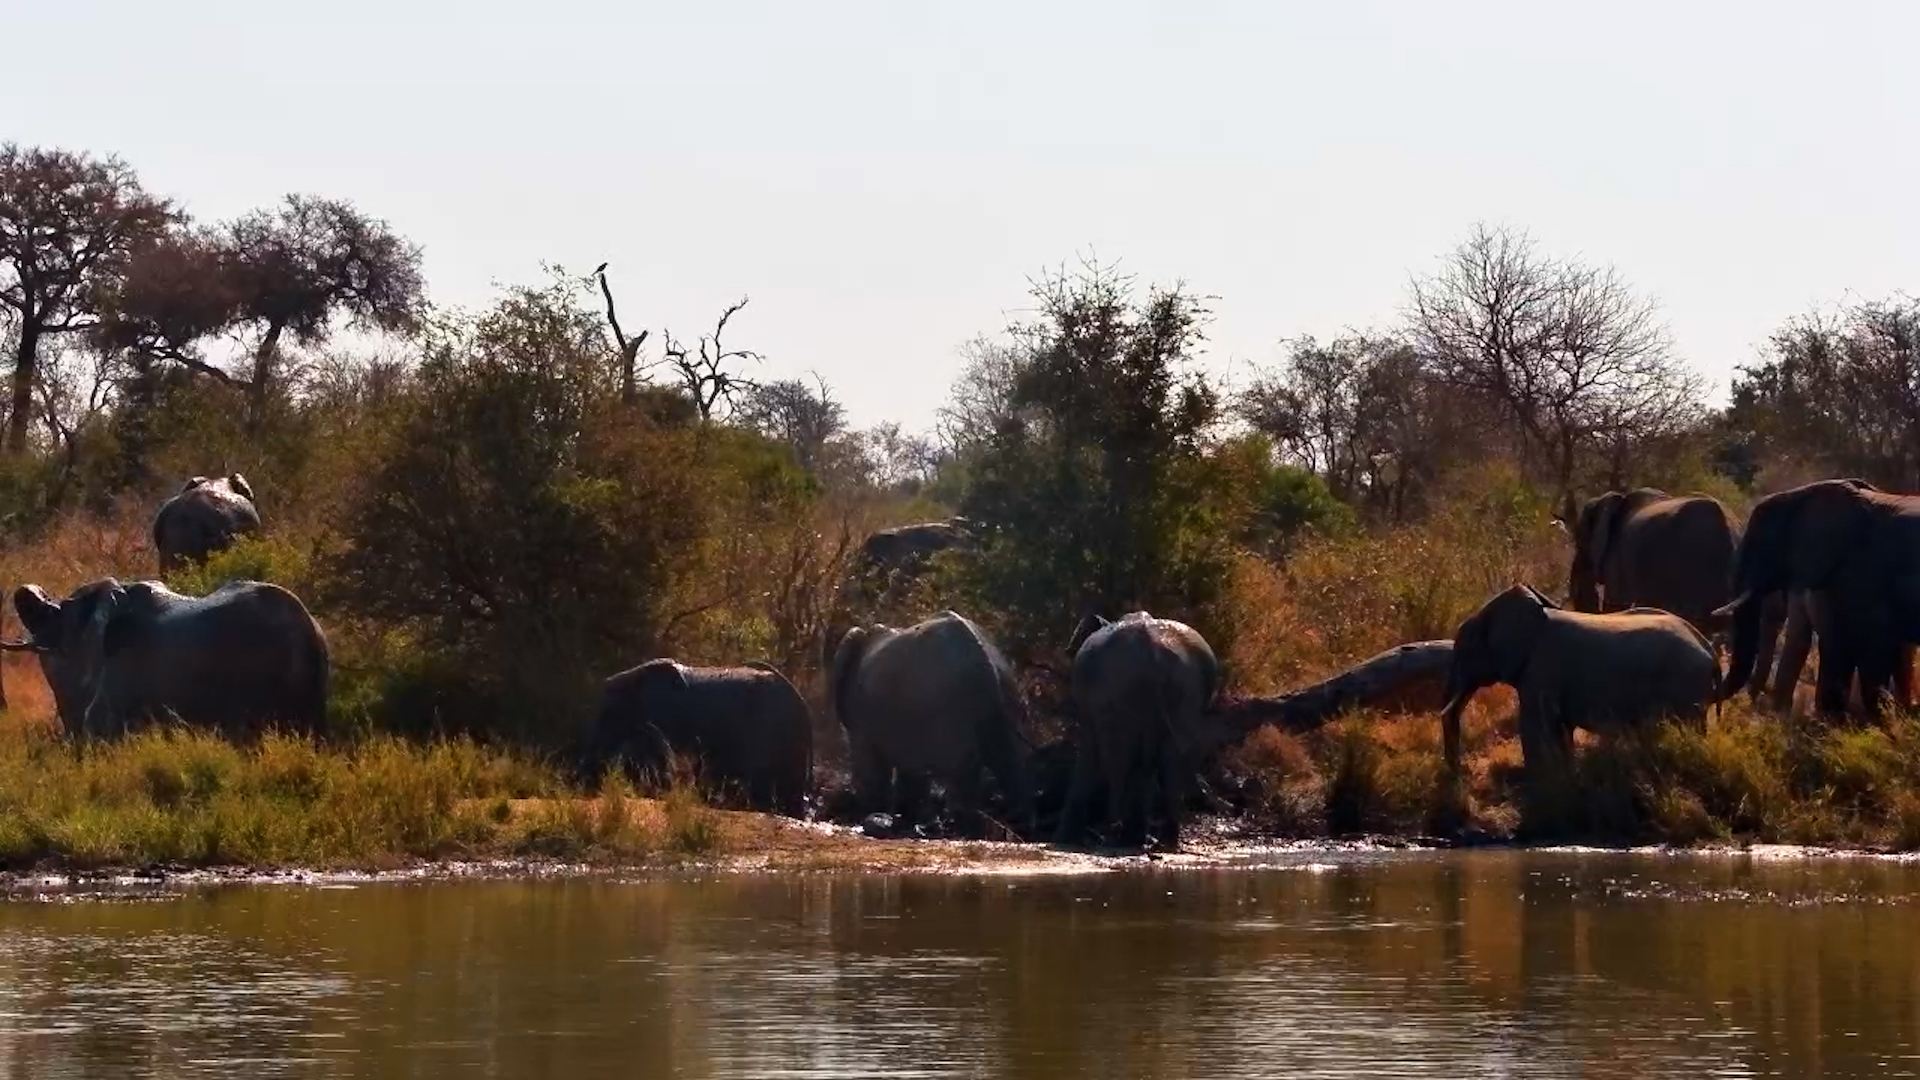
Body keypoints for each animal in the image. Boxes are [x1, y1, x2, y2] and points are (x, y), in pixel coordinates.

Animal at [829, 609, 1033, 837]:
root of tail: (986, 661)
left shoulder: (863, 713)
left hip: (952, 708)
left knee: (964, 770)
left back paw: (964, 830)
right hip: (1005, 697)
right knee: (1010, 761)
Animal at [1053, 611, 1219, 851]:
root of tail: (1153, 652)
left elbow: (1090, 752)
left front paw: (1064, 839)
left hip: (1119, 690)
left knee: (1117, 761)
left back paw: (1112, 835)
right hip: (1186, 691)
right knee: (1171, 759)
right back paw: (1162, 841)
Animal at [1440, 584, 1719, 807]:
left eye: (1466, 649)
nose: (1461, 775)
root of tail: (1709, 649)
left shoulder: (1542, 669)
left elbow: (1534, 727)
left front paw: (1542, 788)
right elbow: (1558, 730)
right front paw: (1565, 782)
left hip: (1685, 685)